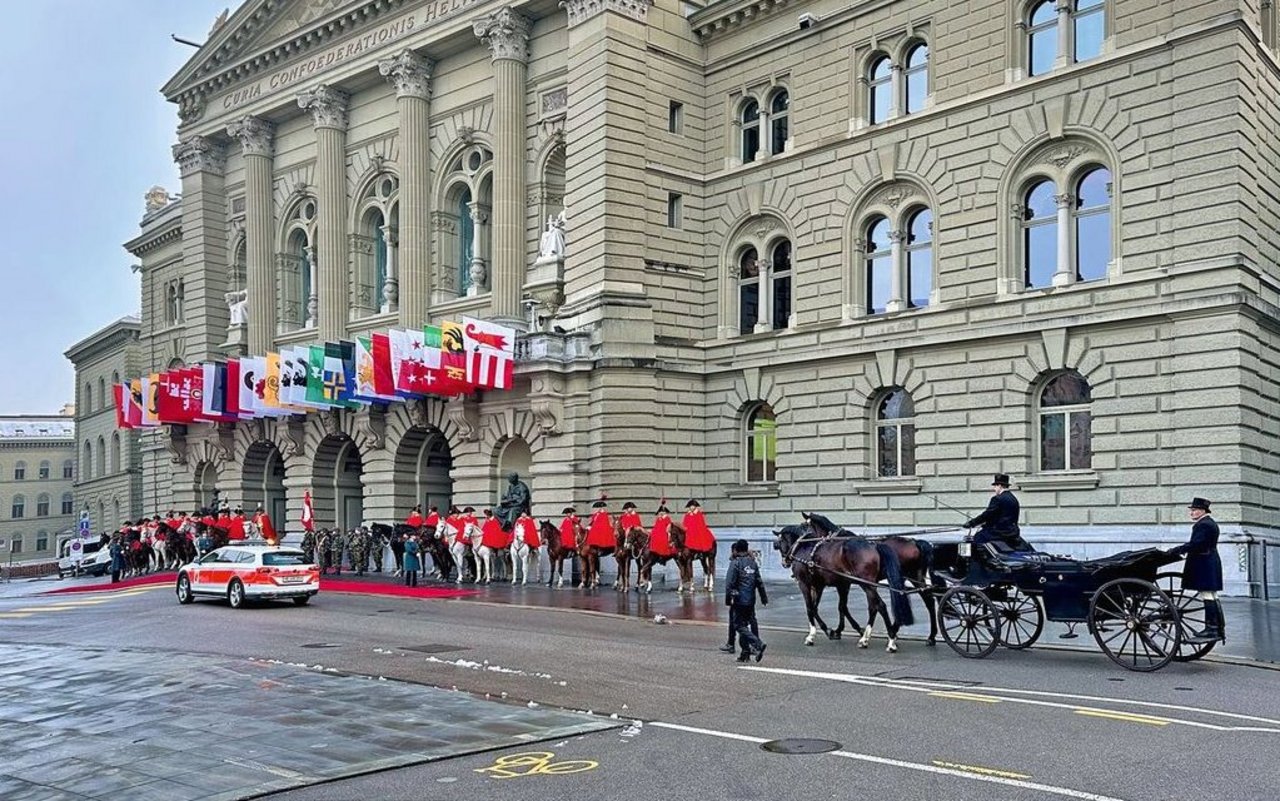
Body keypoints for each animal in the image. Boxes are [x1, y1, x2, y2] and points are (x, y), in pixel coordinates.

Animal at [768, 516, 911, 650]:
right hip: (868, 585)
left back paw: (890, 639)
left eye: (779, 542)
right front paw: (831, 630)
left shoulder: (804, 584)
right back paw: (871, 637)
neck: (804, 546)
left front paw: (812, 635)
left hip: (867, 584)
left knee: (880, 606)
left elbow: (810, 608)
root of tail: (873, 545)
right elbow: (823, 607)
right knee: (874, 606)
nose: (785, 562)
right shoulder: (824, 585)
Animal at [803, 514, 947, 644]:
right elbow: (845, 606)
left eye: (806, 527)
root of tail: (915, 542)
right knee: (928, 600)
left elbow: (842, 607)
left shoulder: (845, 583)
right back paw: (929, 636)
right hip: (915, 577)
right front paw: (843, 630)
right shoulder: (847, 583)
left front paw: (845, 630)